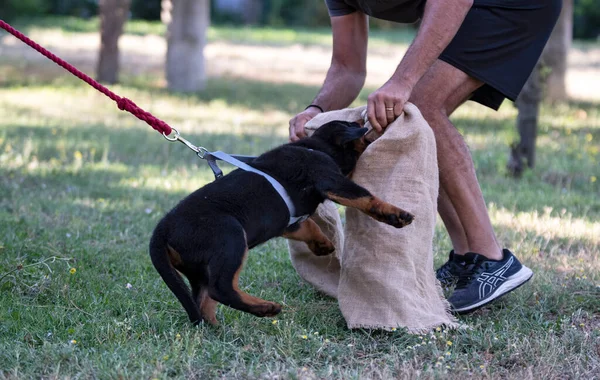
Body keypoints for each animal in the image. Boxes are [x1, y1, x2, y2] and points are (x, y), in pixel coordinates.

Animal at [148, 120, 414, 326]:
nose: (373, 124)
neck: (314, 146)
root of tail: (161, 230)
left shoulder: (288, 221)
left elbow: (309, 226)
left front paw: (323, 245)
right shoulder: (330, 178)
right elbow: (366, 197)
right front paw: (397, 215)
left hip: (198, 270)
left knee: (203, 300)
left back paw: (217, 330)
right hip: (230, 236)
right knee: (221, 288)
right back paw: (266, 308)